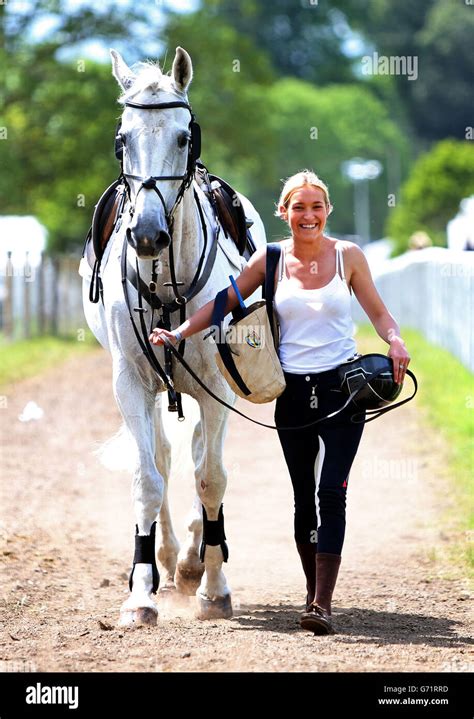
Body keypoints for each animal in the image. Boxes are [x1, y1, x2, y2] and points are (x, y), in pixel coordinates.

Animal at [78, 47, 266, 628]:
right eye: (123, 138)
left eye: (185, 137)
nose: (146, 234)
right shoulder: (130, 383)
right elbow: (148, 477)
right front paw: (140, 593)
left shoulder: (217, 387)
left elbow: (211, 477)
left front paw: (213, 586)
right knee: (162, 456)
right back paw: (166, 558)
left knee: (205, 456)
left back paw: (194, 558)